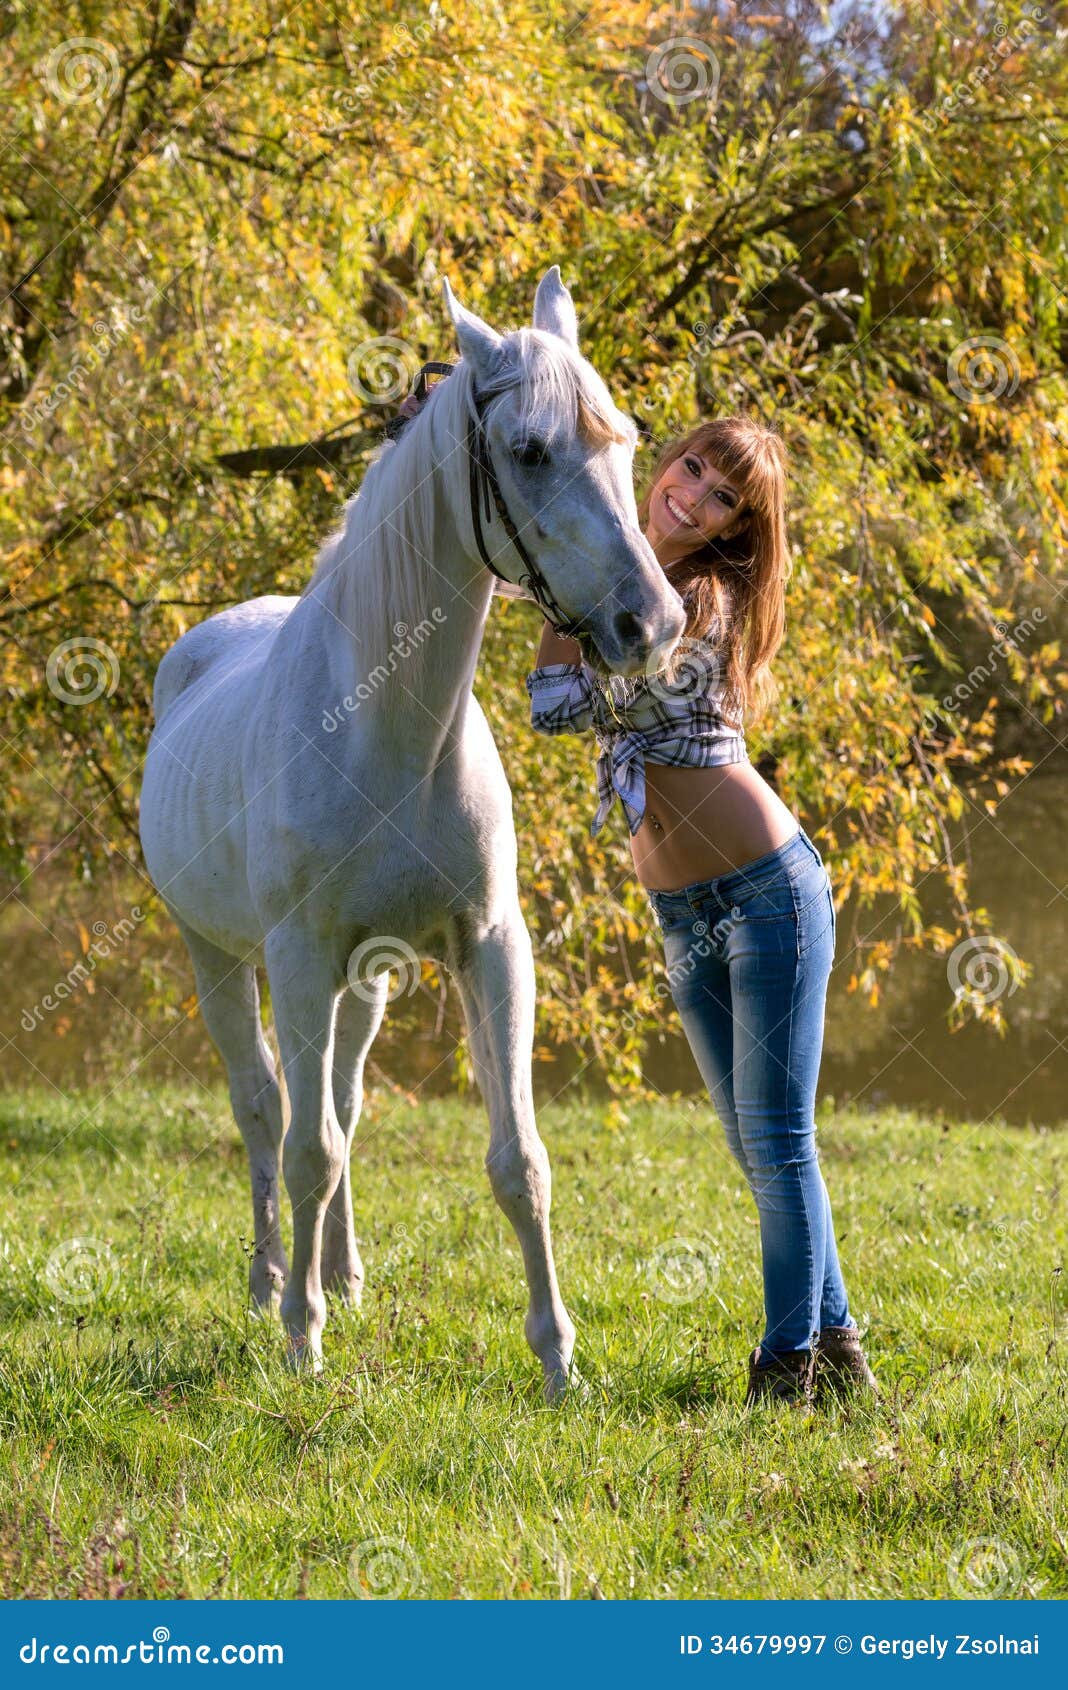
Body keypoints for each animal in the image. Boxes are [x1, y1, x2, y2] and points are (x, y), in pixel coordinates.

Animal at [138, 265, 685, 1401]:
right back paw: (273, 1284)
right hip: (218, 956)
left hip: (371, 978)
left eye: (624, 436)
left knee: (341, 1100)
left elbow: (518, 1159)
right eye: (529, 450)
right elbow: (303, 1147)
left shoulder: (490, 947)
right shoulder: (299, 957)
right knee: (266, 1110)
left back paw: (342, 1275)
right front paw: (301, 1343)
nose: (652, 626)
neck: (388, 726)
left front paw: (558, 1358)